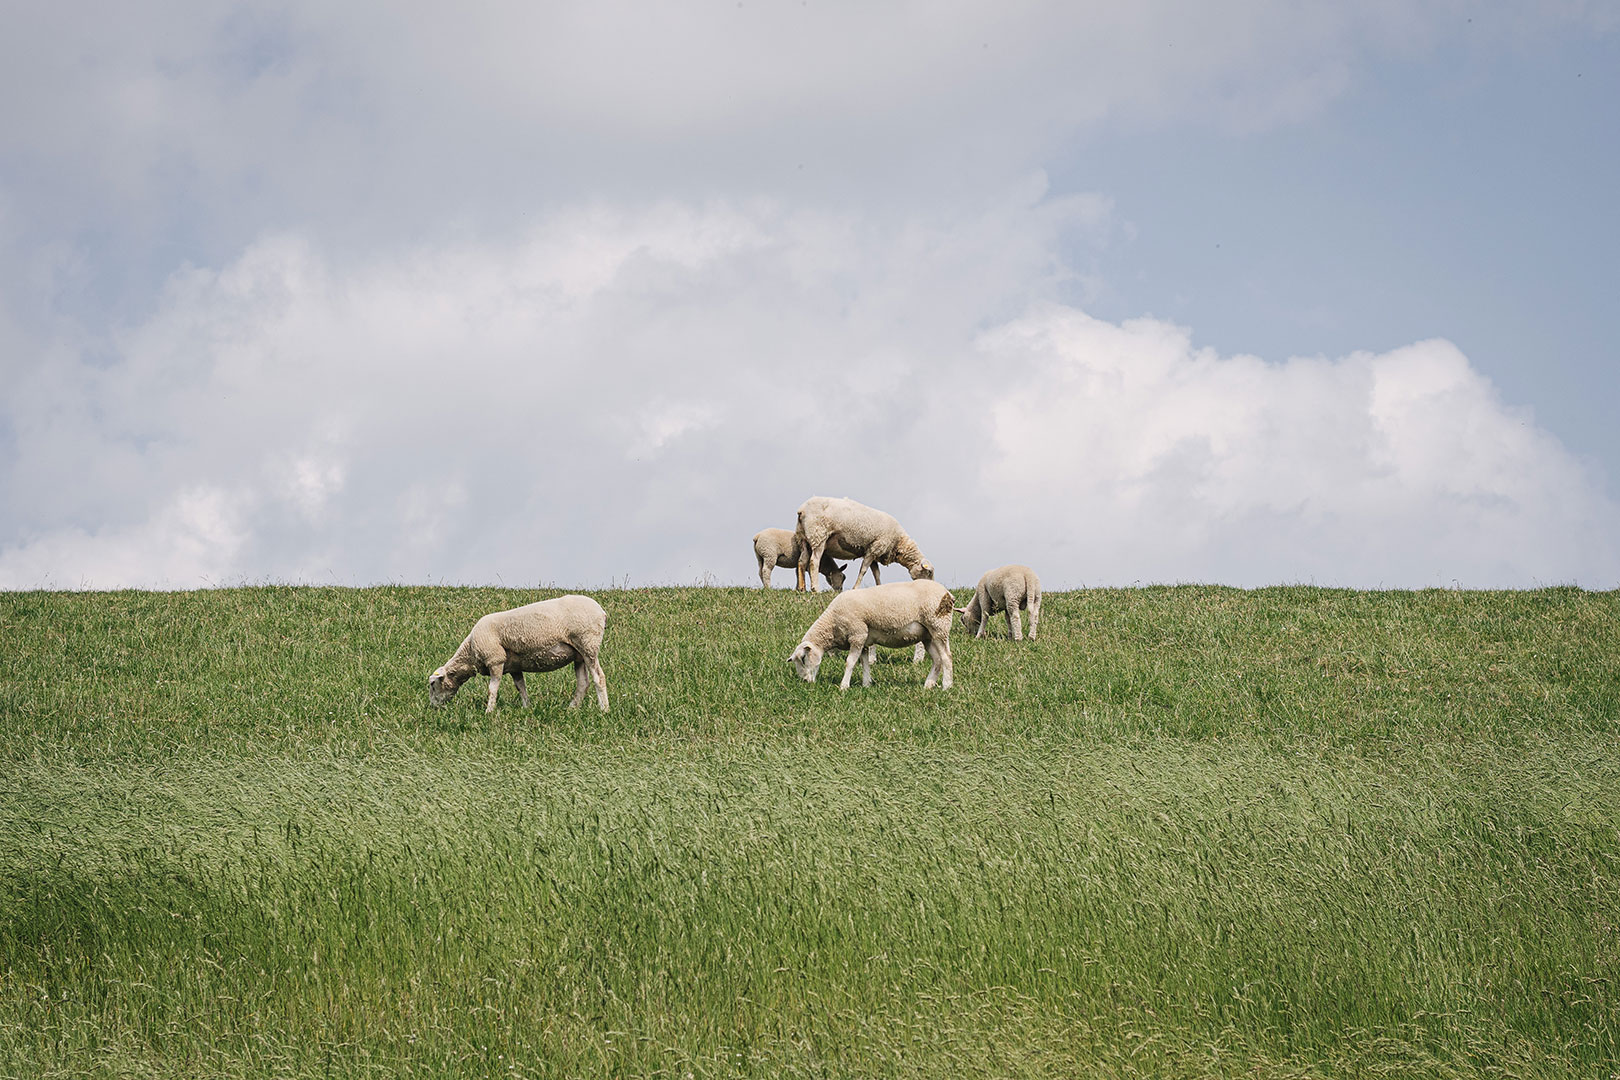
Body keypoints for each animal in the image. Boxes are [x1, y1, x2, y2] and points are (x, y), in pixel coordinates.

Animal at [427, 595, 609, 712]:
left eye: (433, 684)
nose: (433, 708)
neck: (470, 651)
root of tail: (601, 611)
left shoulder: (495, 660)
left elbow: (492, 689)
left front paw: (489, 712)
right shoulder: (514, 667)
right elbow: (521, 687)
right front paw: (526, 708)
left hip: (588, 645)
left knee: (599, 677)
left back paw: (604, 710)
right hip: (578, 655)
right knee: (583, 683)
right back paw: (571, 709)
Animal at [784, 582, 946, 693]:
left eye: (803, 658)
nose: (805, 681)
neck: (832, 622)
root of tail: (946, 592)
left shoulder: (857, 635)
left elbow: (850, 662)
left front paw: (844, 686)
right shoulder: (863, 641)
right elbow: (864, 662)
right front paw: (866, 684)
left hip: (938, 626)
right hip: (928, 635)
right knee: (938, 660)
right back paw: (930, 684)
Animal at [790, 495, 933, 595]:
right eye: (930, 572)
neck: (899, 542)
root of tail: (802, 510)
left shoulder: (874, 551)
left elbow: (877, 574)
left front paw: (880, 588)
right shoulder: (874, 549)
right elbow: (863, 571)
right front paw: (855, 589)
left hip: (803, 538)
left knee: (802, 561)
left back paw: (801, 588)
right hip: (818, 535)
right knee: (814, 562)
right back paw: (815, 589)